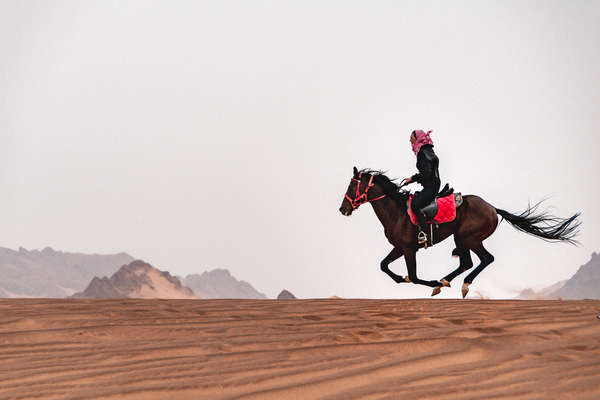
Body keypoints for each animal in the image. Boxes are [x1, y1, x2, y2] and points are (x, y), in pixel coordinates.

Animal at [340, 166, 580, 296]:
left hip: (469, 237)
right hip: (461, 238)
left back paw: (457, 284)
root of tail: (492, 208)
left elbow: (415, 277)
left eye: (351, 187)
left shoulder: (409, 249)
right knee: (467, 263)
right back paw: (446, 282)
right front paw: (403, 278)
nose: (343, 209)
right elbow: (384, 266)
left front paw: (430, 282)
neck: (397, 212)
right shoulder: (399, 248)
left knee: (485, 259)